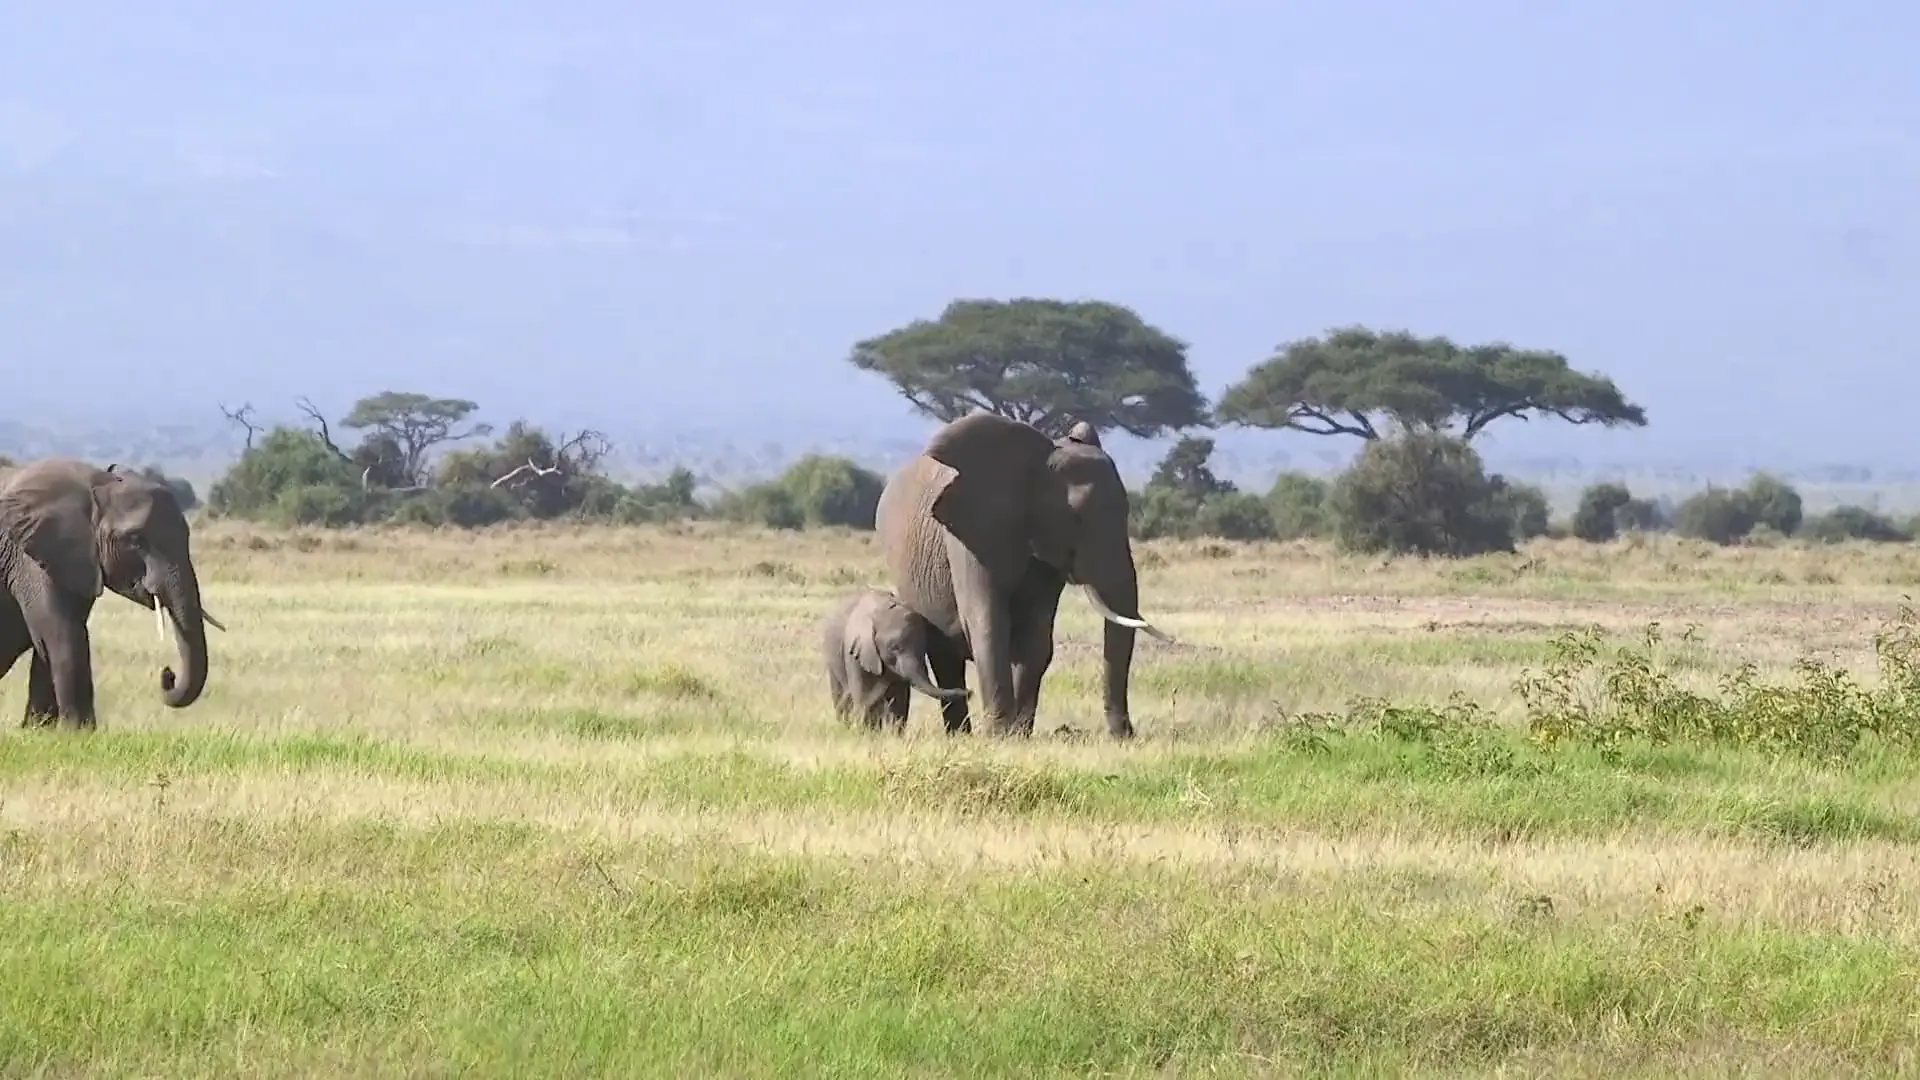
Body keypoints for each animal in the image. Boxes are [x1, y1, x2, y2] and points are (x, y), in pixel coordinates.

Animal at [0, 458, 218, 729]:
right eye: (135, 541)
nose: (168, 674)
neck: (97, 483)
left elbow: (51, 638)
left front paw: (39, 730)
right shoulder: (30, 556)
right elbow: (61, 631)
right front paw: (78, 731)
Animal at [821, 587, 969, 733]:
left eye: (924, 646)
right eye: (894, 648)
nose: (969, 692)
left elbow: (899, 701)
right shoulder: (857, 652)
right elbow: (866, 699)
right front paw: (866, 734)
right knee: (841, 694)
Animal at [873, 412, 1173, 740]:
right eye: (1074, 517)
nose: (1126, 734)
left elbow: (1036, 635)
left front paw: (1019, 734)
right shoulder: (971, 533)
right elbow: (987, 621)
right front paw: (999, 735)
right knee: (944, 655)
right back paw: (960, 734)